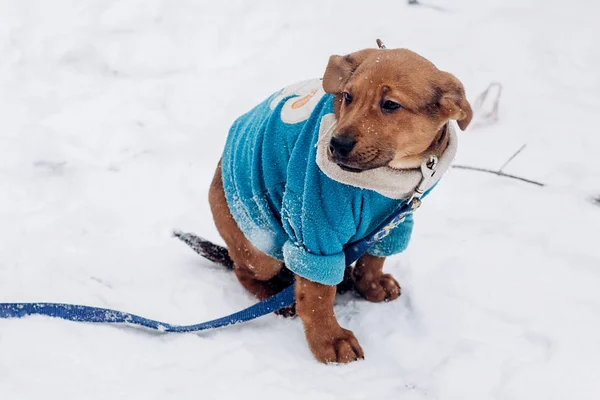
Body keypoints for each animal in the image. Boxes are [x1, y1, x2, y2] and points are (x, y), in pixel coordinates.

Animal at [209, 45, 472, 364]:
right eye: (348, 96)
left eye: (391, 105)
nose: (337, 145)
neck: (386, 178)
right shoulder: (316, 225)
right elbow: (318, 294)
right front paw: (330, 340)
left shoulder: (396, 218)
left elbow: (375, 257)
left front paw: (370, 283)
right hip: (260, 247)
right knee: (243, 270)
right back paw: (276, 296)